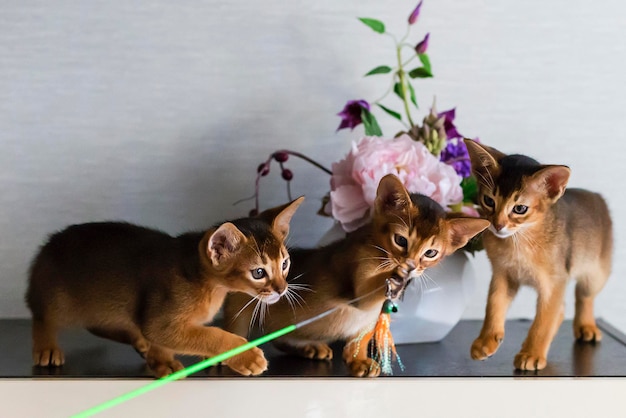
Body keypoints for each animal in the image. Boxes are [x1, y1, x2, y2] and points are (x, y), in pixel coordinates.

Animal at [25, 198, 304, 378]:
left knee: (101, 325)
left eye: (285, 263)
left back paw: (140, 342)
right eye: (258, 272)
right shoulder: (160, 321)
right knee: (42, 316)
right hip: (59, 300)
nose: (282, 289)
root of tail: (48, 244)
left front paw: (162, 362)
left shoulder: (159, 324)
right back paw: (46, 347)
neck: (208, 286)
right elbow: (211, 335)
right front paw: (246, 356)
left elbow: (164, 341)